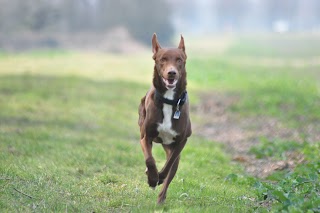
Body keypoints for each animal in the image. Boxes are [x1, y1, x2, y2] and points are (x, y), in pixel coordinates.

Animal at [138, 33, 192, 203]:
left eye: (179, 60)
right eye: (163, 59)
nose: (171, 73)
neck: (169, 101)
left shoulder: (182, 141)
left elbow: (170, 163)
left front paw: (159, 177)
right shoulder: (146, 137)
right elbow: (149, 160)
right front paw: (152, 178)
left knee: (171, 170)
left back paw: (160, 200)